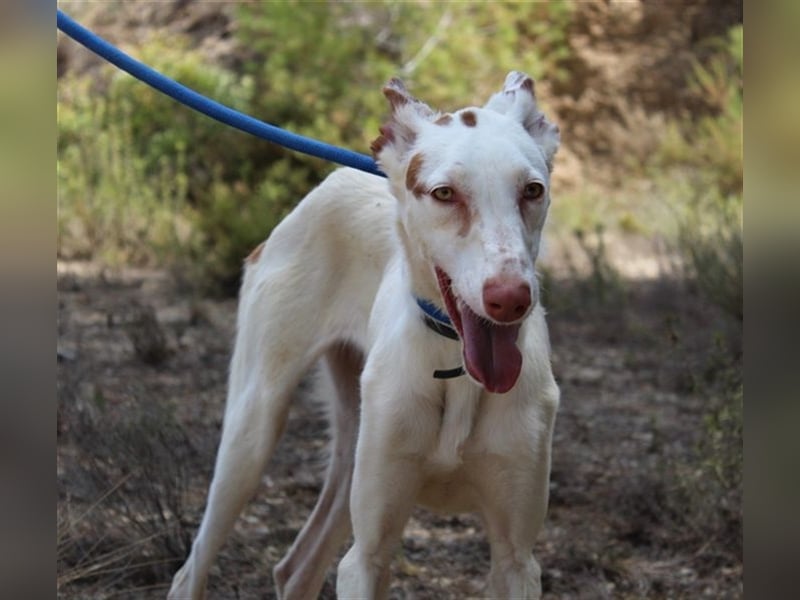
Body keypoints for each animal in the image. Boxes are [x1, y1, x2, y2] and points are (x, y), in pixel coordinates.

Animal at [169, 72, 560, 596]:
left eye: (532, 190)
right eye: (445, 194)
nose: (511, 298)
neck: (453, 365)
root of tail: (333, 180)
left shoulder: (517, 558)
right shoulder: (367, 555)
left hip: (350, 450)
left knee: (294, 569)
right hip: (251, 435)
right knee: (190, 570)